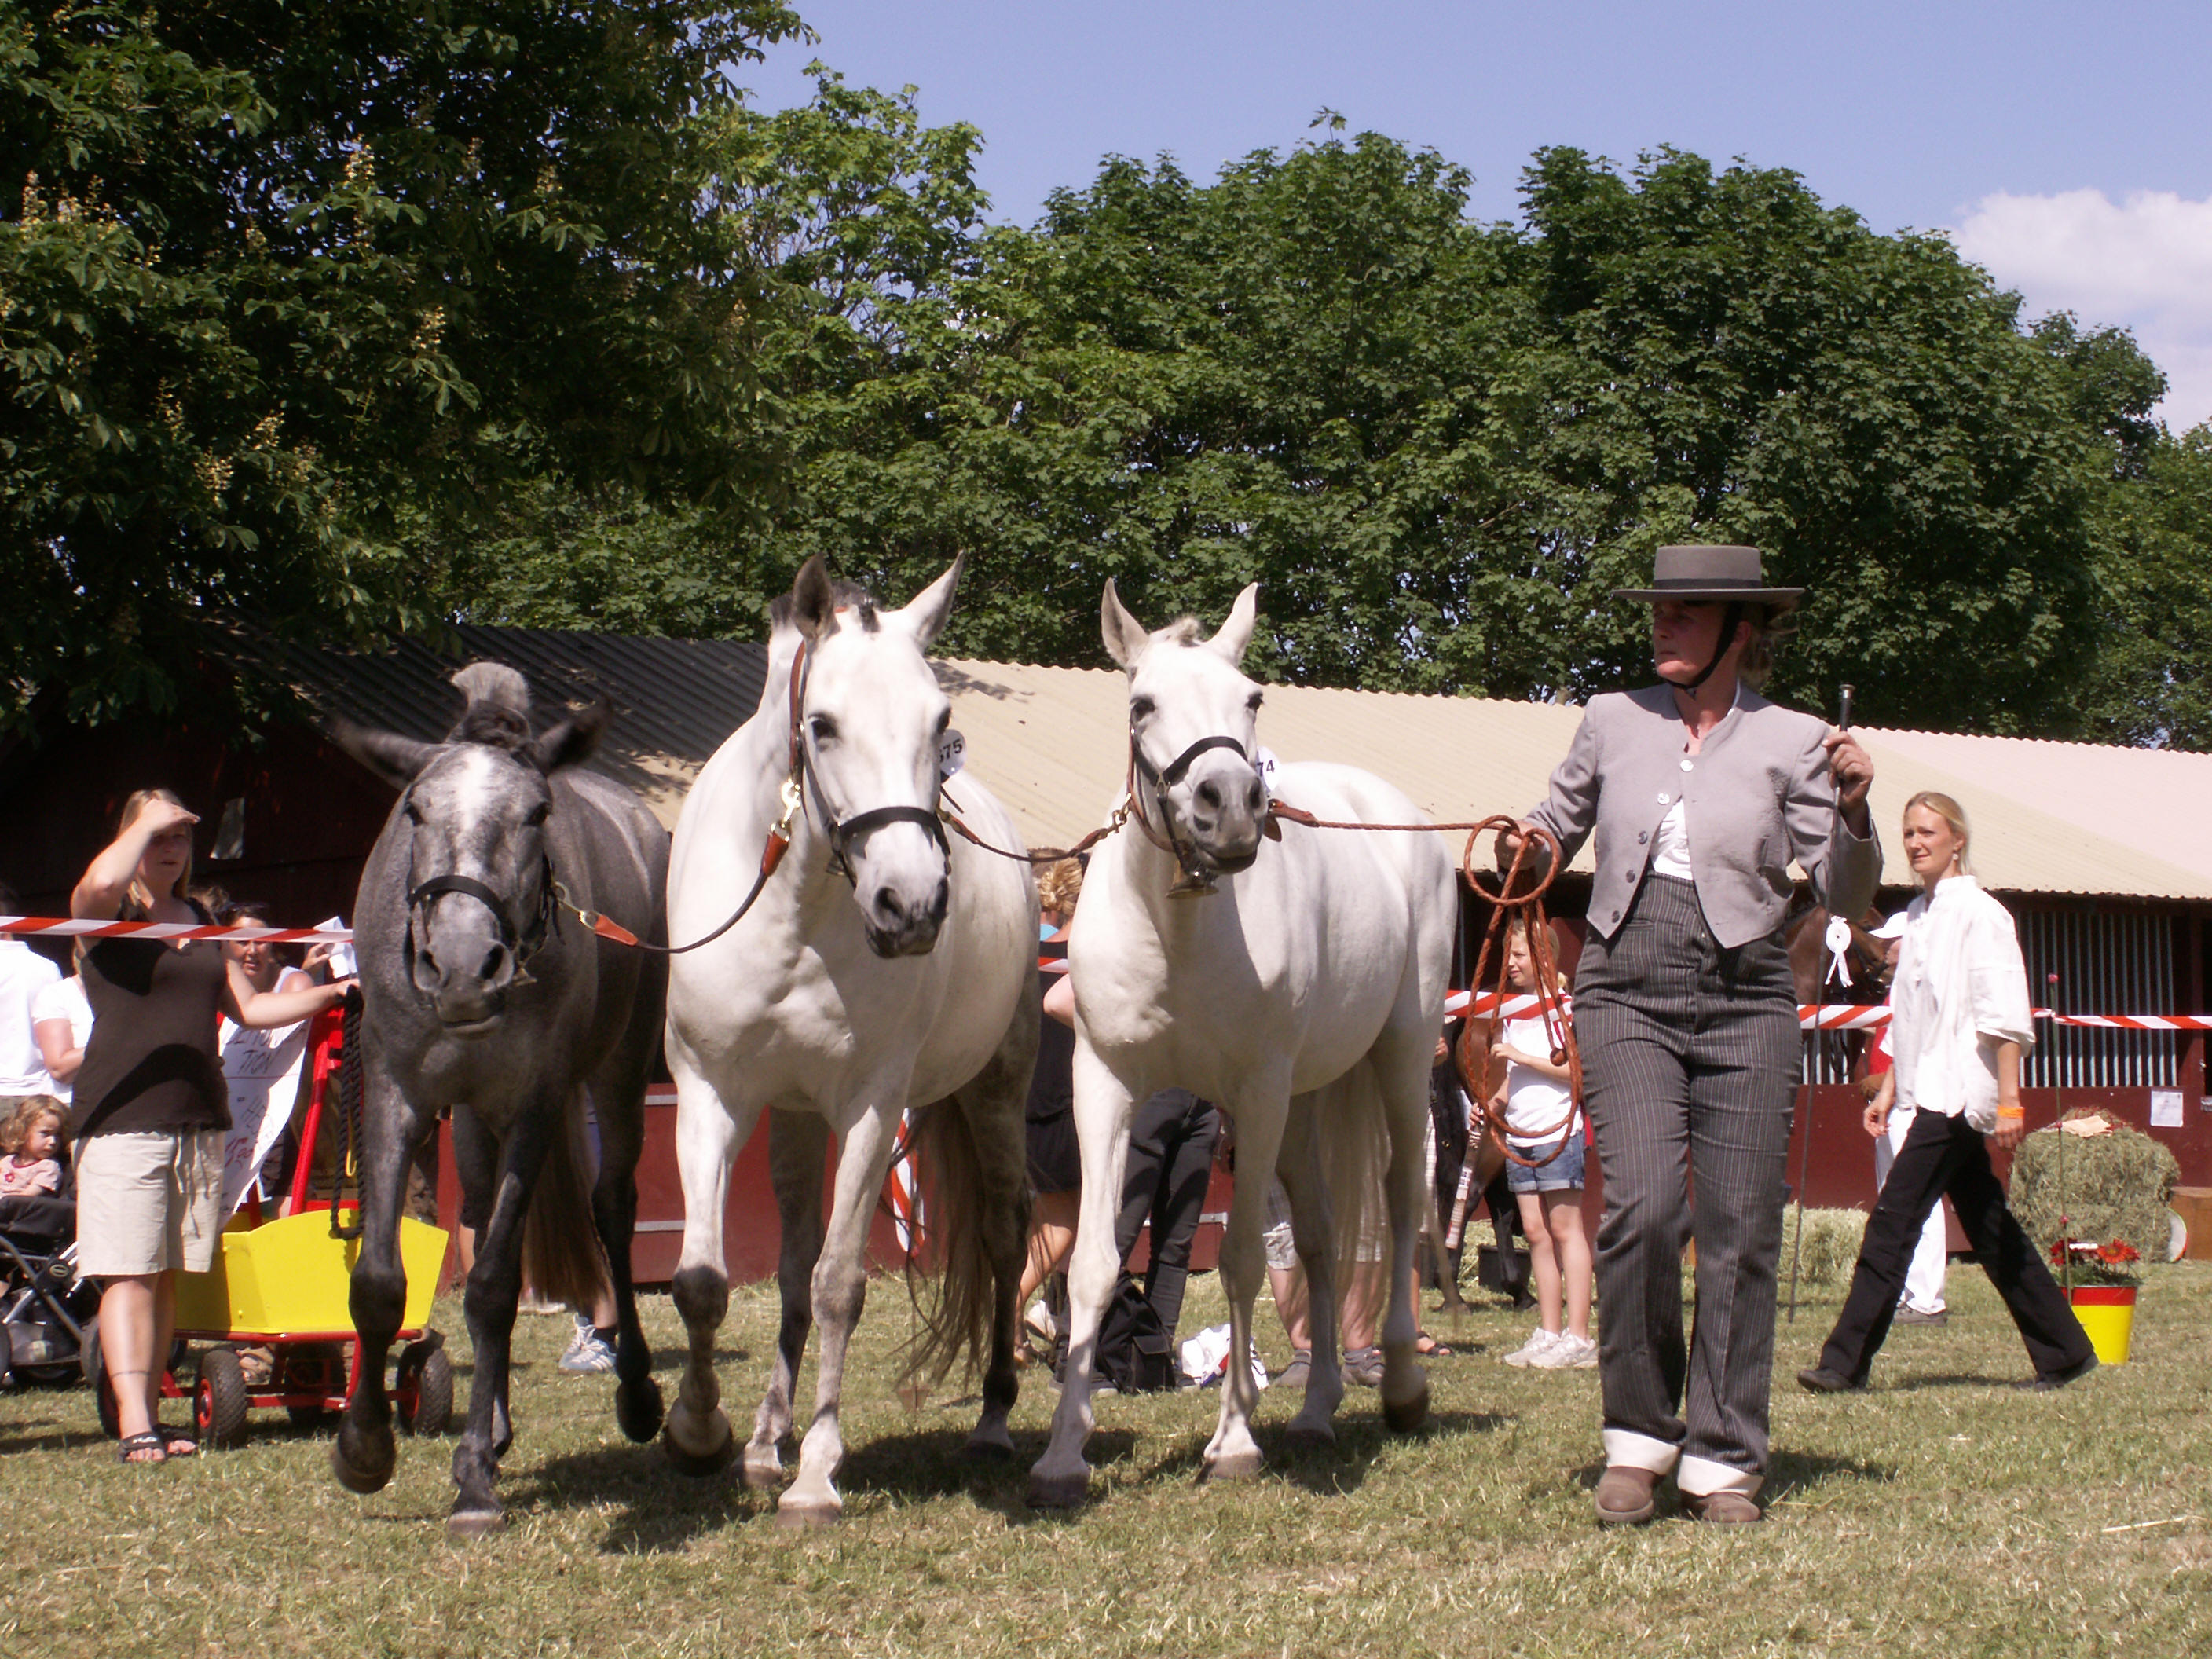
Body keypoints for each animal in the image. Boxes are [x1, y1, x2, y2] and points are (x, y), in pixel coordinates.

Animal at [327, 668, 668, 1539]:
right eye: (414, 810)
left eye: (538, 812)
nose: (461, 966)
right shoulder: (396, 1097)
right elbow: (380, 1280)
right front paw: (365, 1447)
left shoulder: (535, 1107)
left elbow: (488, 1286)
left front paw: (474, 1481)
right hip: (474, 1123)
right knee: (484, 1223)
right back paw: (498, 1424)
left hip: (616, 1078)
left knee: (610, 1212)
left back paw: (638, 1393)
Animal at [659, 559, 1039, 1530]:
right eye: (821, 725)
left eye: (940, 722)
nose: (913, 904)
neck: (793, 909)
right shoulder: (710, 1092)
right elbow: (707, 1281)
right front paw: (703, 1434)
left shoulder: (873, 1102)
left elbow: (839, 1284)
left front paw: (818, 1472)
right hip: (793, 1118)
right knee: (791, 1266)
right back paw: (763, 1439)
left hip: (995, 1091)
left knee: (1005, 1236)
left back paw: (993, 1419)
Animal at [1026, 579, 1459, 1503]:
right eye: (1142, 703)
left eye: (1252, 699)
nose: (1227, 810)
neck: (1180, 932)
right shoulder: (1105, 1084)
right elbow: (1092, 1265)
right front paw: (1062, 1454)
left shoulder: (1254, 1095)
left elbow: (1239, 1266)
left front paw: (1231, 1442)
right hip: (1305, 1102)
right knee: (1325, 1238)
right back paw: (1318, 1408)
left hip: (1400, 1061)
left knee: (1403, 1202)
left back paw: (1403, 1388)